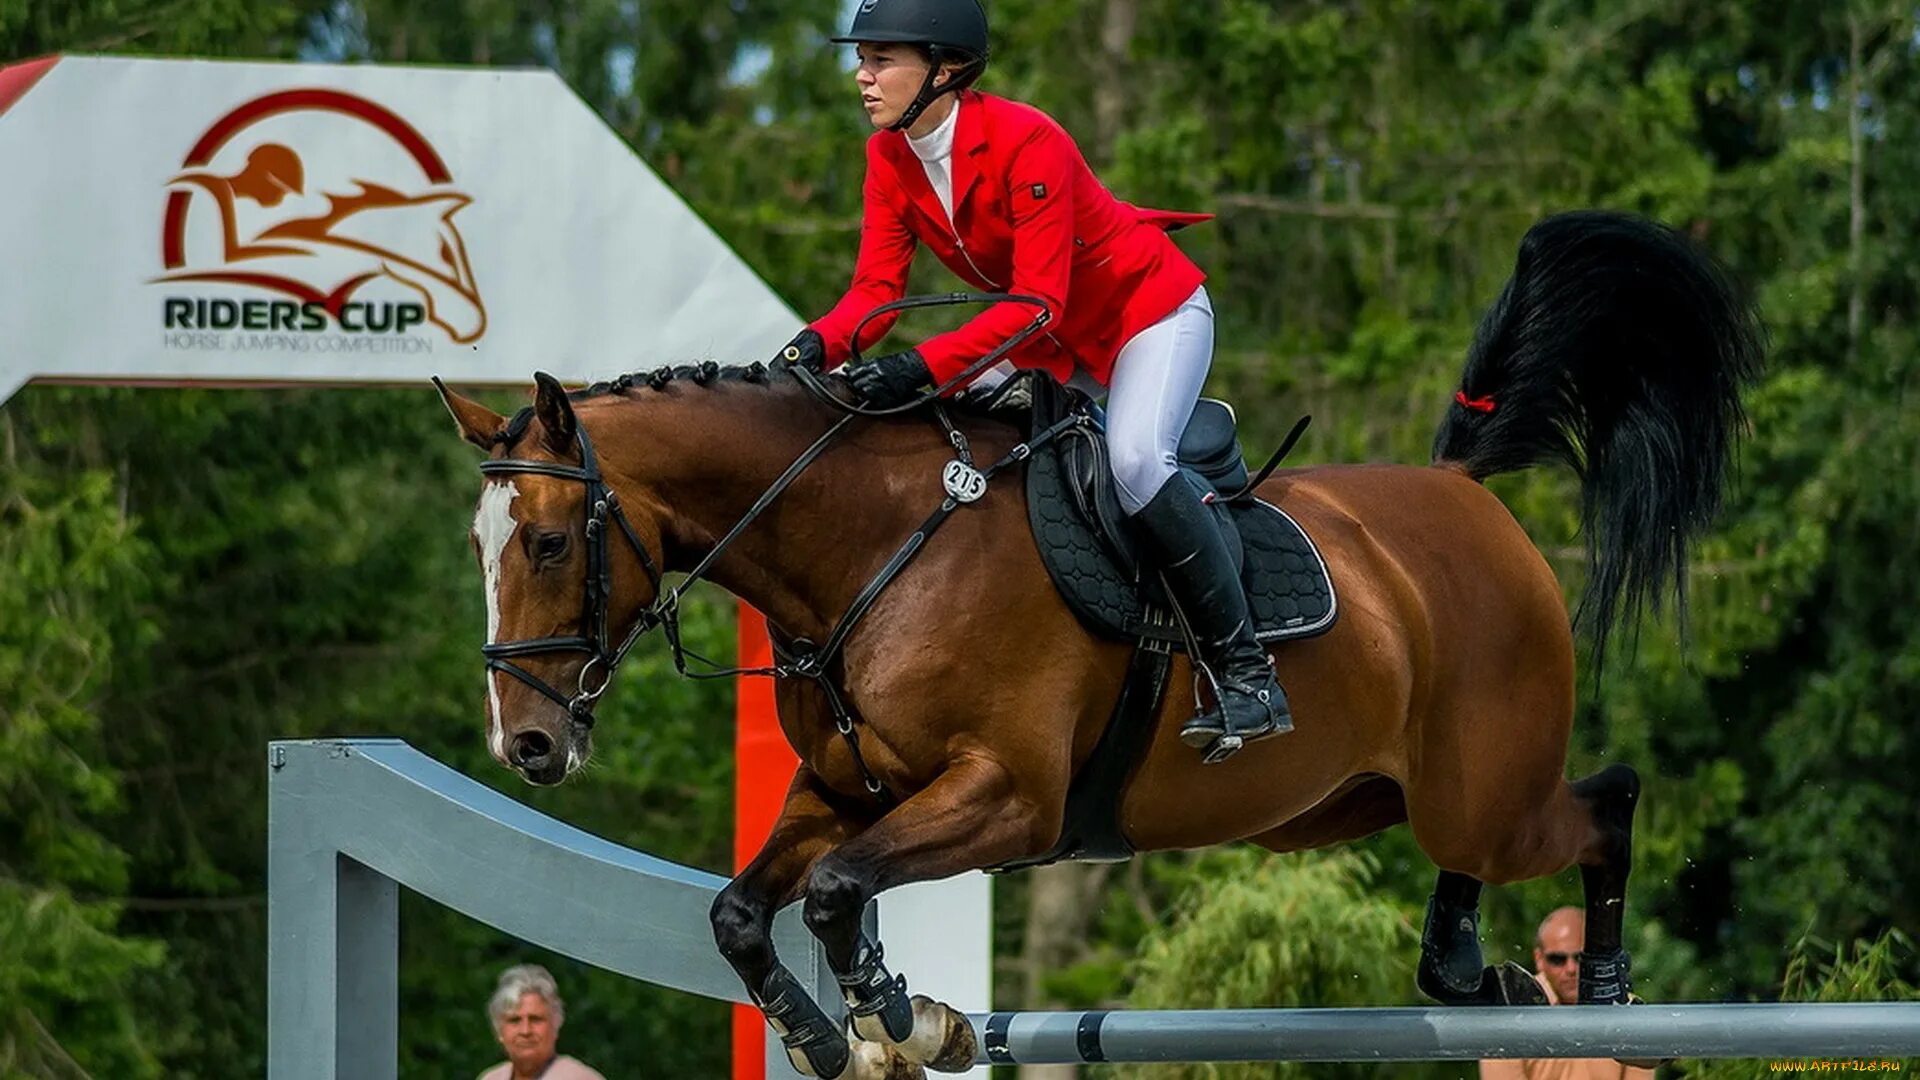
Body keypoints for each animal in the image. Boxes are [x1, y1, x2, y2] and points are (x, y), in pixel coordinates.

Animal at [441, 212, 1758, 1076]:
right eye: (479, 544)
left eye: (548, 544)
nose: (528, 747)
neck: (870, 545)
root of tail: (1462, 493)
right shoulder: (842, 790)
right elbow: (744, 909)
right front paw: (832, 1035)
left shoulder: (1008, 798)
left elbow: (835, 892)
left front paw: (908, 1021)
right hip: (1349, 804)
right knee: (1476, 875)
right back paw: (1475, 970)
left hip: (1484, 792)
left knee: (1606, 804)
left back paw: (1602, 991)